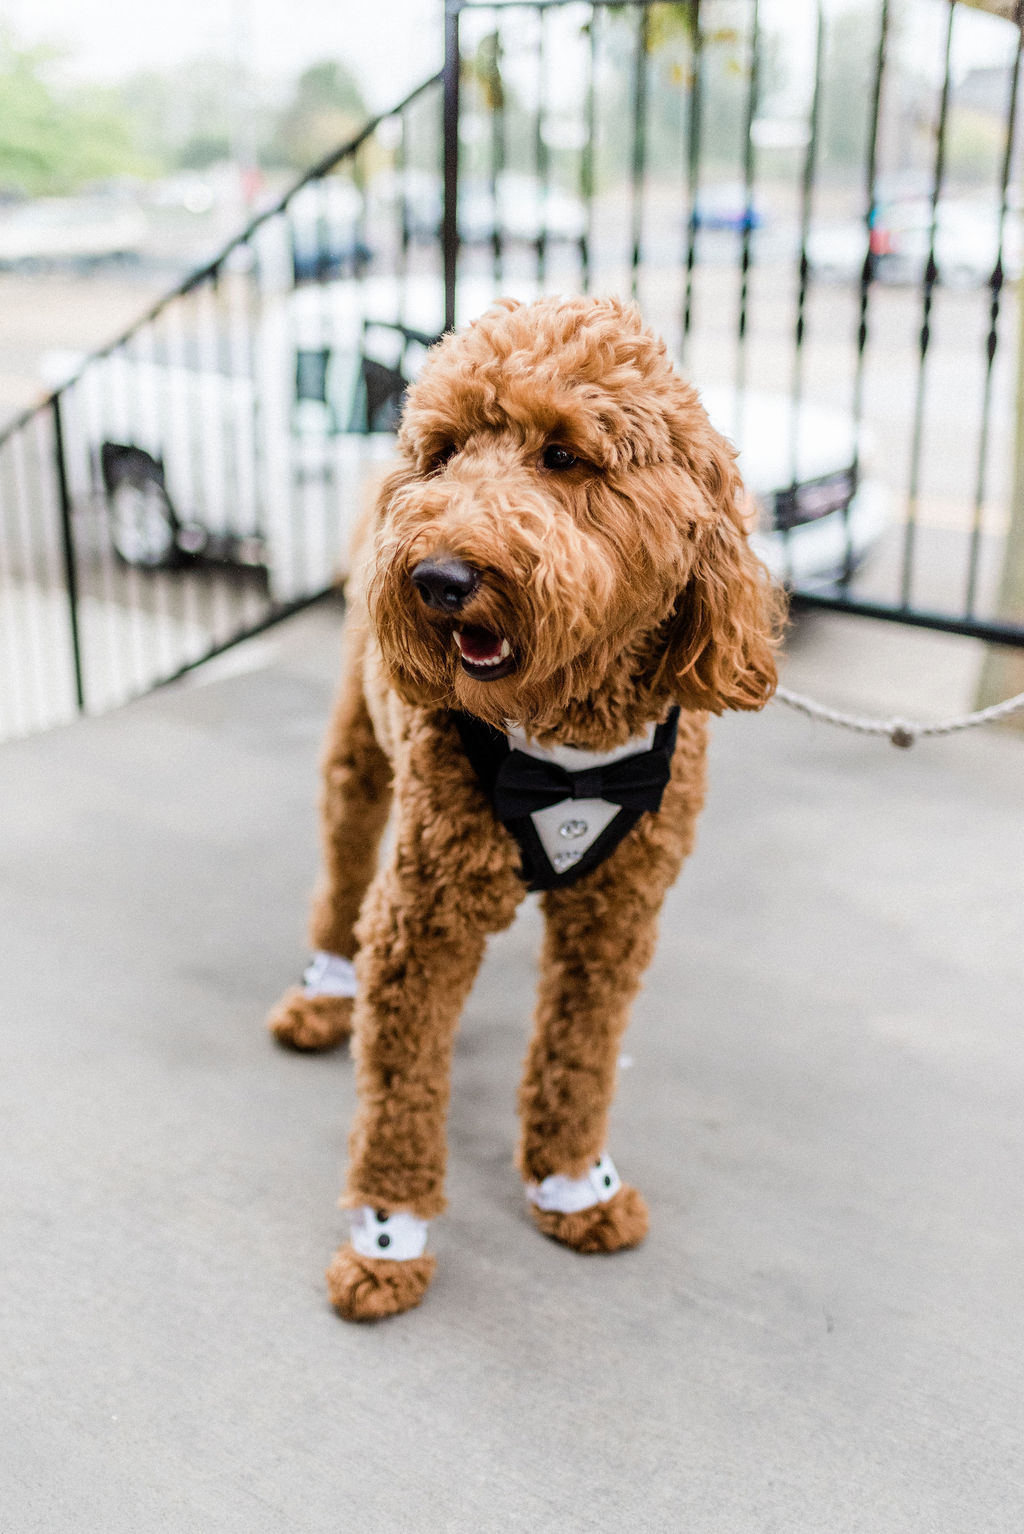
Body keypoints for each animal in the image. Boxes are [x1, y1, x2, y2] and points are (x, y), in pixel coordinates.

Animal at [268, 296, 778, 1319]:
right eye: (445, 452)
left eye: (564, 455)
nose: (438, 578)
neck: (569, 750)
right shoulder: (423, 918)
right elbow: (399, 1091)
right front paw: (388, 1238)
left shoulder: (616, 918)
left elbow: (579, 1058)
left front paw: (575, 1187)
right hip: (360, 752)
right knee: (343, 860)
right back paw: (325, 990)